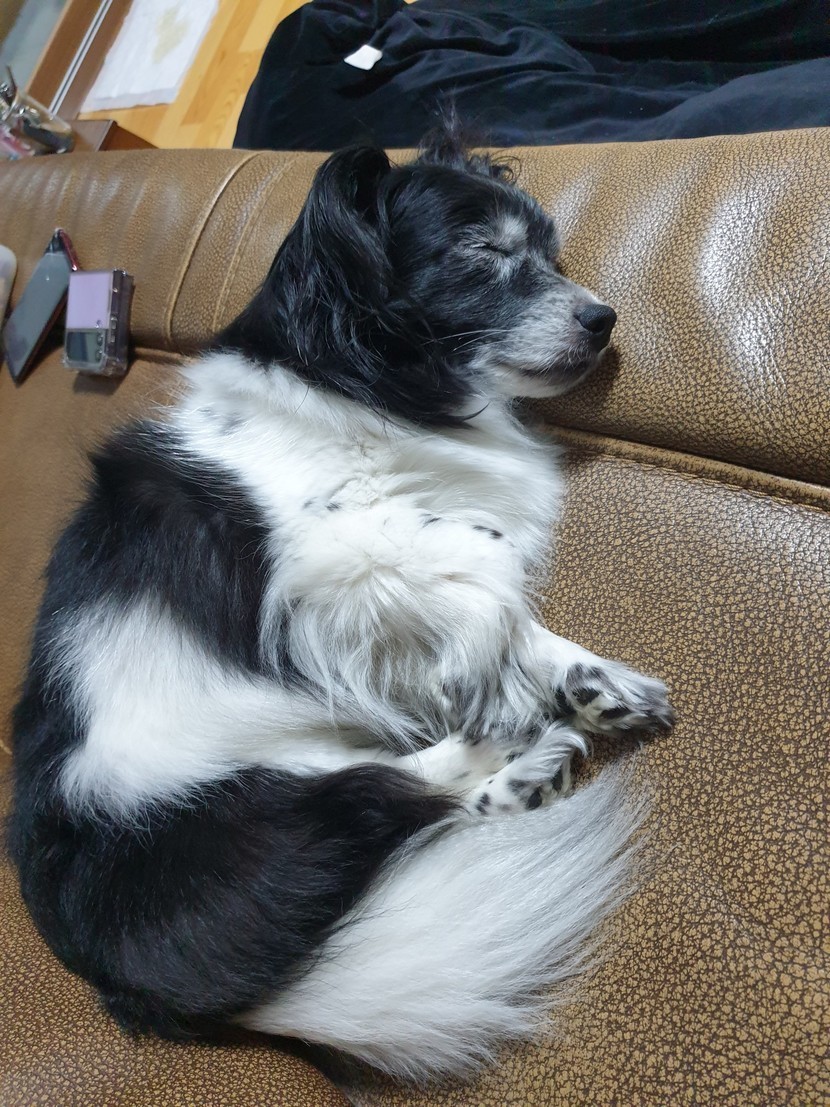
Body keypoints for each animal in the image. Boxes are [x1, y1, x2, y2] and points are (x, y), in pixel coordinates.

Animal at [9, 121, 673, 1082]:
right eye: (483, 252)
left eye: (552, 256)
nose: (603, 315)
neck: (361, 377)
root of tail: (120, 977)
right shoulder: (323, 559)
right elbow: (485, 563)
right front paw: (497, 672)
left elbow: (510, 603)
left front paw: (591, 678)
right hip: (266, 801)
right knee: (400, 794)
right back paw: (508, 741)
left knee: (432, 802)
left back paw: (534, 762)